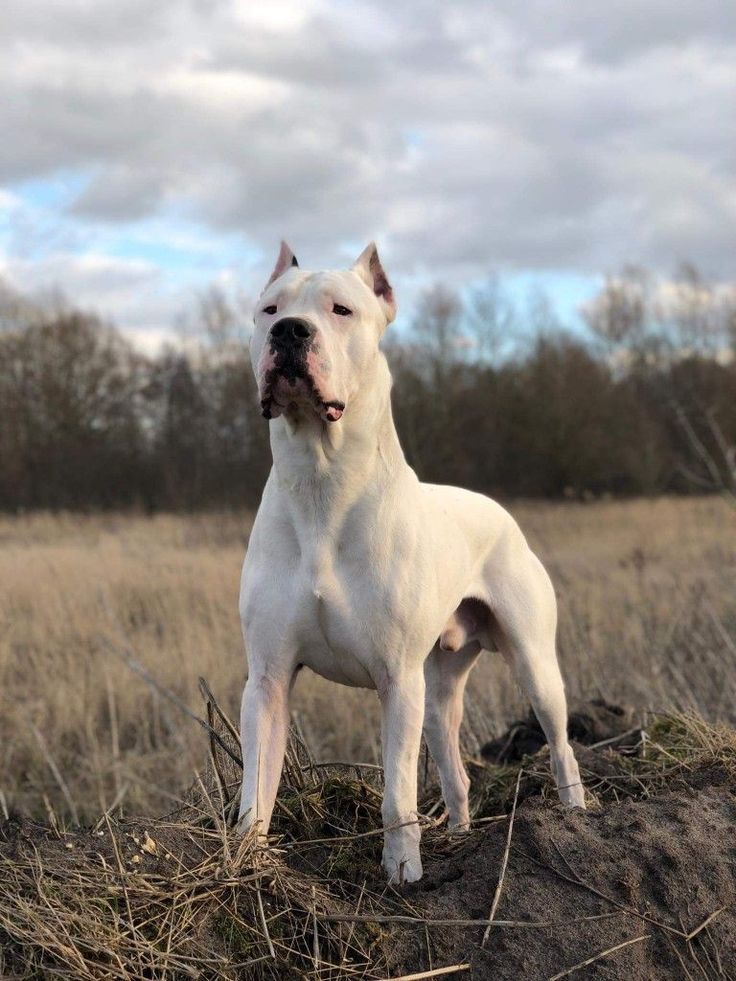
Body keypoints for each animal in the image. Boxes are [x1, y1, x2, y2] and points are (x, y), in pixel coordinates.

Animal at [239, 239, 584, 880]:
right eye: (268, 309)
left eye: (341, 310)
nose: (290, 331)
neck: (321, 482)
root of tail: (500, 511)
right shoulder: (267, 681)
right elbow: (256, 789)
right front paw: (245, 866)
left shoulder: (397, 682)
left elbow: (396, 792)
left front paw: (402, 870)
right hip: (439, 693)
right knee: (456, 769)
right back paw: (460, 833)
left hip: (533, 666)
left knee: (561, 746)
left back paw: (576, 817)